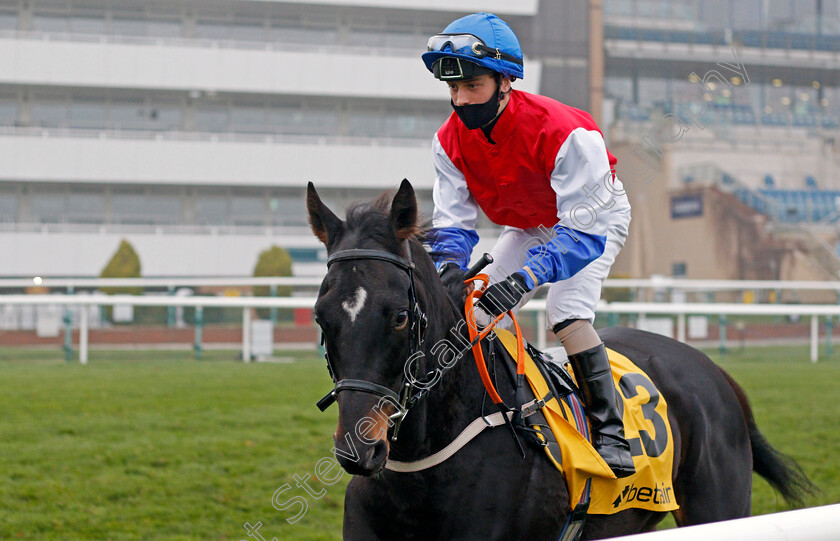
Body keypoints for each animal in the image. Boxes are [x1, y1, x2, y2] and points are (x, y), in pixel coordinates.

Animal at [306, 179, 812, 536]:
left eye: (398, 316)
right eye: (320, 316)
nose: (358, 449)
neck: (420, 468)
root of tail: (713, 370)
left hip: (718, 509)